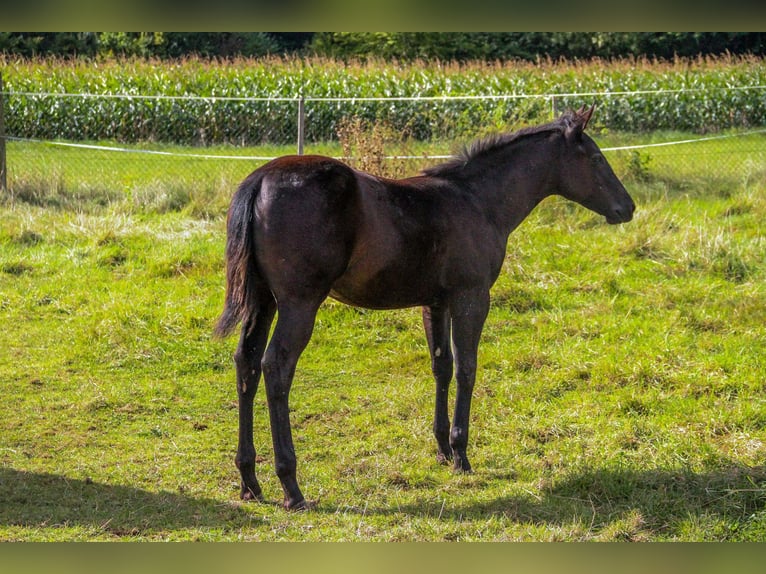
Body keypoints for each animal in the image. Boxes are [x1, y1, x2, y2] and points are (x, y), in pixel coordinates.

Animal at [216, 106, 636, 510]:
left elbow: (442, 366)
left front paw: (442, 449)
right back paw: (291, 485)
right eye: (596, 158)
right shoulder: (471, 297)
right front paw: (462, 454)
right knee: (276, 367)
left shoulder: (436, 303)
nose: (627, 208)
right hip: (299, 304)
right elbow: (466, 368)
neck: (478, 201)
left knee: (246, 363)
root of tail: (261, 180)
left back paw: (249, 480)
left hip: (263, 301)